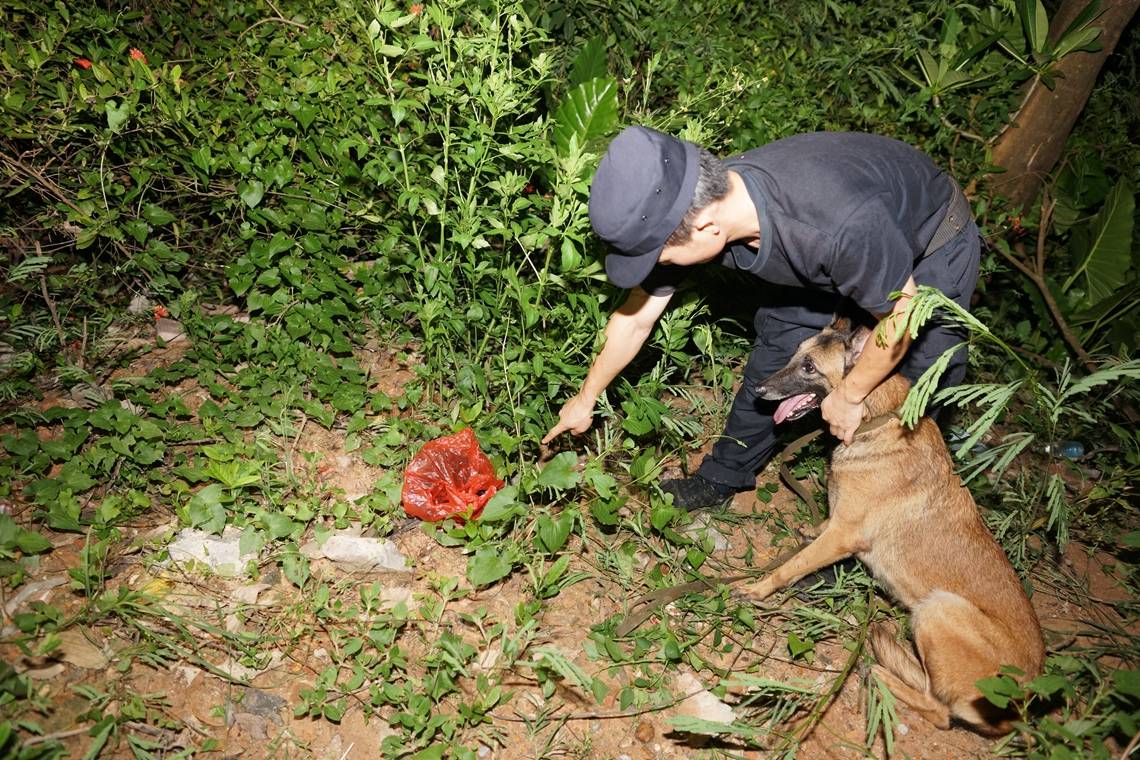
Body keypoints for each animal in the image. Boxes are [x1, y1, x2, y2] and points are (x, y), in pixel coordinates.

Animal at [738, 319, 1044, 733]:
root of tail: (1022, 710)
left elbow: (791, 567)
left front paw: (757, 589)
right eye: (794, 355)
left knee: (940, 711)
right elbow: (818, 533)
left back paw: (883, 674)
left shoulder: (842, 537)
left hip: (938, 608)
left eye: (809, 367)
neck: (878, 420)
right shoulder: (836, 527)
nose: (758, 389)